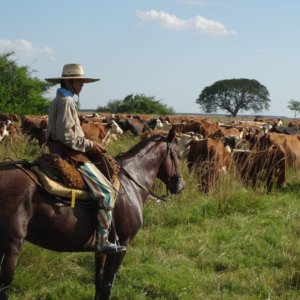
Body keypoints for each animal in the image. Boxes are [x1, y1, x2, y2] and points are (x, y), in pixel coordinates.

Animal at [0, 127, 184, 298]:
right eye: (177, 155)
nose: (181, 186)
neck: (131, 183)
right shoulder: (122, 245)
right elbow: (107, 286)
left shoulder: (101, 249)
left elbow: (99, 284)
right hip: (11, 247)